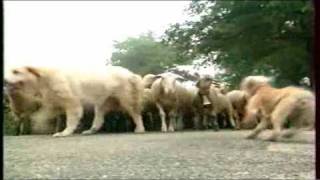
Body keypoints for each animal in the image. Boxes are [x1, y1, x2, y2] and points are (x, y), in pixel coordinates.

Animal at [4, 65, 145, 137]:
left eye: (16, 71)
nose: (4, 80)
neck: (45, 78)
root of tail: (130, 73)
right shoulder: (51, 102)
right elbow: (40, 115)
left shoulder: (72, 103)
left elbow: (70, 119)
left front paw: (65, 132)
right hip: (102, 102)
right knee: (99, 119)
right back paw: (91, 130)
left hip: (126, 99)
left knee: (136, 114)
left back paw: (140, 129)